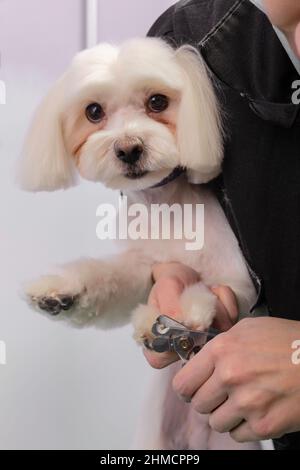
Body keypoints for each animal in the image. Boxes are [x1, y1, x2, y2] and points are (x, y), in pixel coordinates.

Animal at [20, 38, 260, 450]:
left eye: (158, 102)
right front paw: (61, 291)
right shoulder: (144, 269)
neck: (165, 209)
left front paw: (185, 314)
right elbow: (110, 280)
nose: (129, 148)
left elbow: (215, 293)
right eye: (93, 111)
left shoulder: (240, 285)